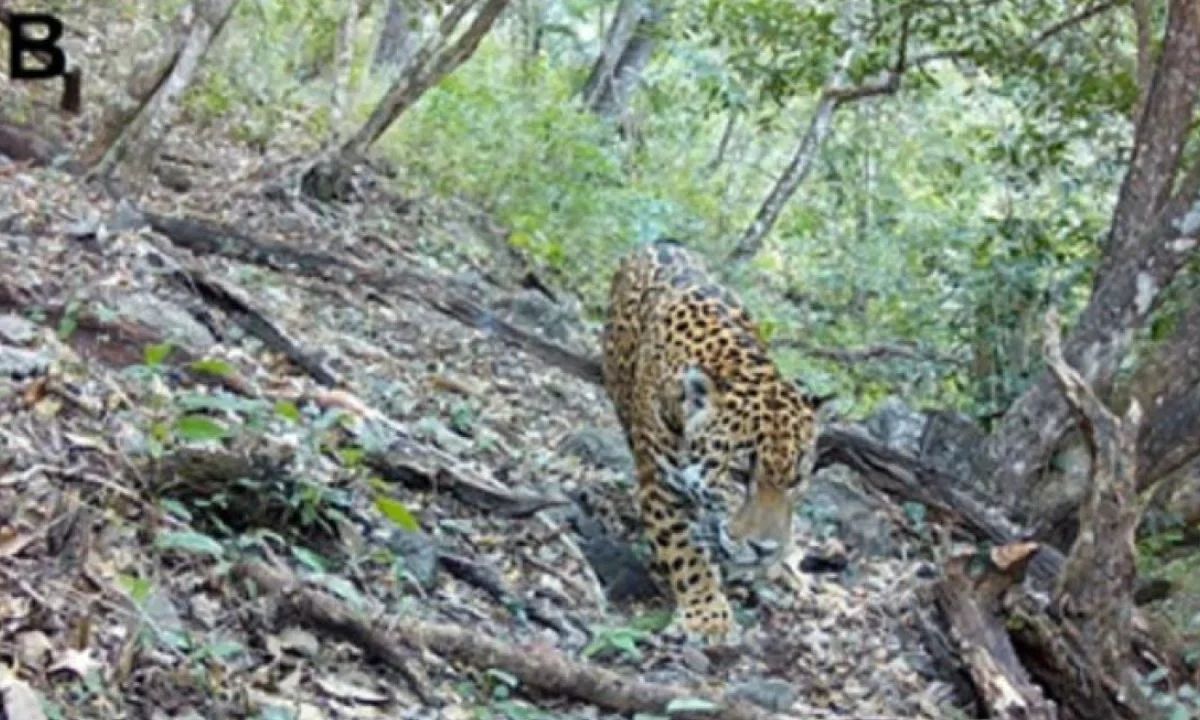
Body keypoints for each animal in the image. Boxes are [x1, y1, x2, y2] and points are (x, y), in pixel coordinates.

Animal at [600, 238, 820, 642]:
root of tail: (660, 242)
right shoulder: (659, 484)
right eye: (738, 475)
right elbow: (684, 552)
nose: (765, 550)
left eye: (796, 481)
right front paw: (708, 617)